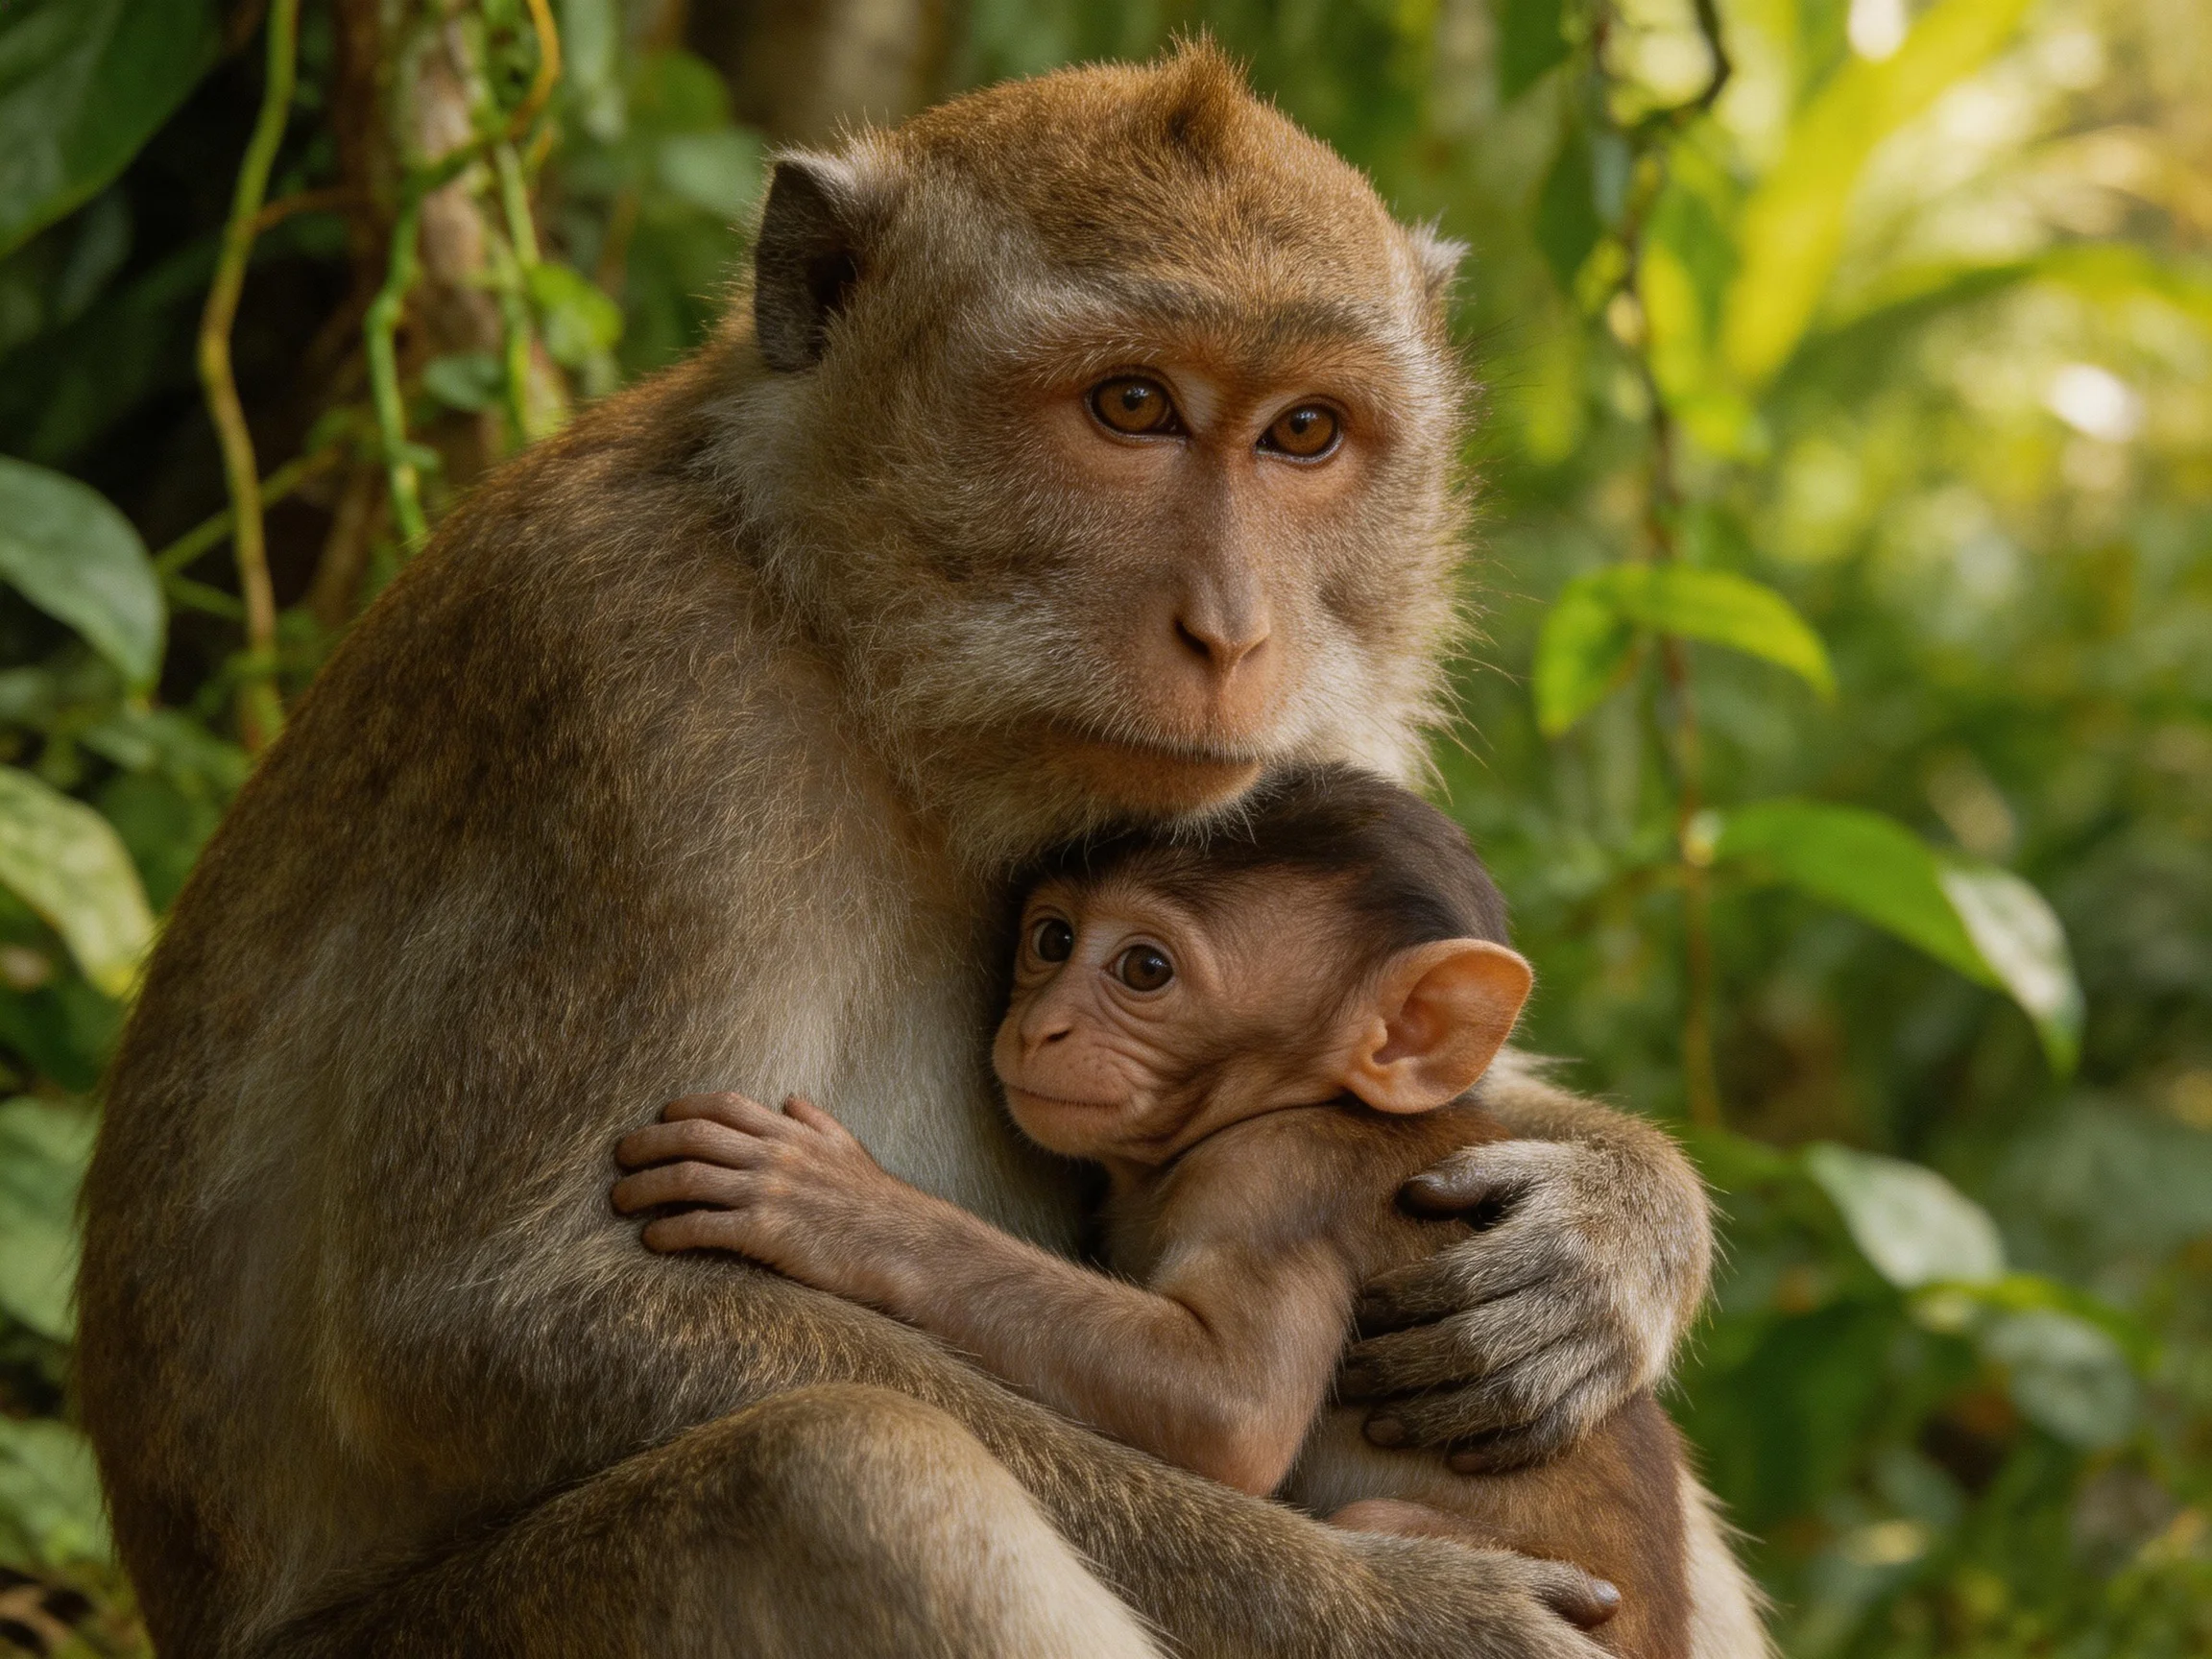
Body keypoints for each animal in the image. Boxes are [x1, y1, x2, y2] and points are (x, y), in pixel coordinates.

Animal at [611, 766, 1716, 1659]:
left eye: (1145, 969)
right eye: (1051, 939)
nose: (1041, 1026)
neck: (1293, 1100)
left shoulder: (1276, 1177)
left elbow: (1228, 1408)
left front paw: (838, 1205)